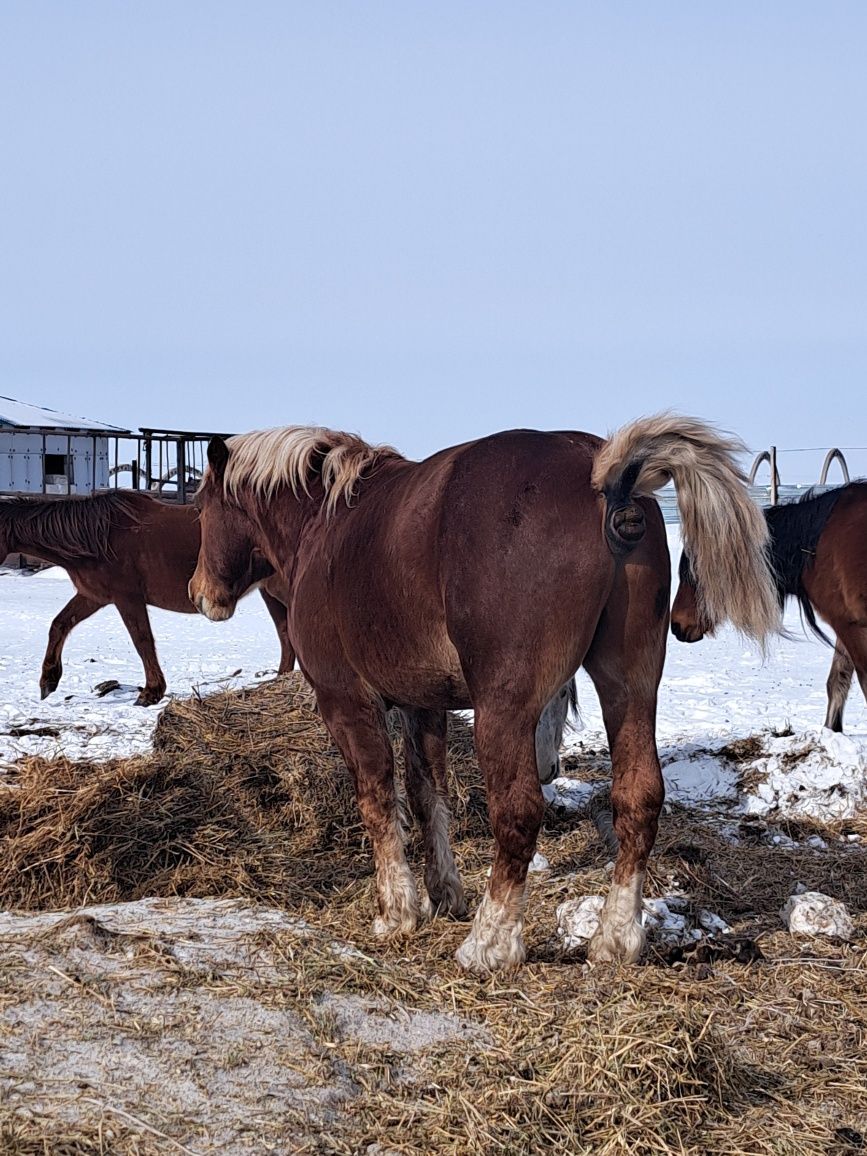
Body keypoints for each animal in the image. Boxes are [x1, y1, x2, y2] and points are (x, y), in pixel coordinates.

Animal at [0, 490, 298, 702]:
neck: (99, 539)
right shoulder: (93, 596)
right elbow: (59, 624)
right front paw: (48, 680)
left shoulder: (127, 598)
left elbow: (142, 640)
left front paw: (151, 691)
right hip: (270, 594)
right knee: (285, 632)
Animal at [189, 411, 781, 971]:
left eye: (200, 507)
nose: (199, 593)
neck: (327, 524)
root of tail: (602, 473)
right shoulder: (423, 704)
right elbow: (427, 795)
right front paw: (443, 893)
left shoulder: (347, 703)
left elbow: (378, 800)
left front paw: (397, 912)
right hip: (629, 687)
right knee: (638, 798)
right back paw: (614, 940)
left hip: (505, 710)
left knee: (518, 814)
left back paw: (490, 944)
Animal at [675, 478, 867, 730]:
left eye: (692, 575)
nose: (676, 625)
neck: (814, 548)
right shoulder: (845, 623)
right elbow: (837, 682)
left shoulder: (850, 626)